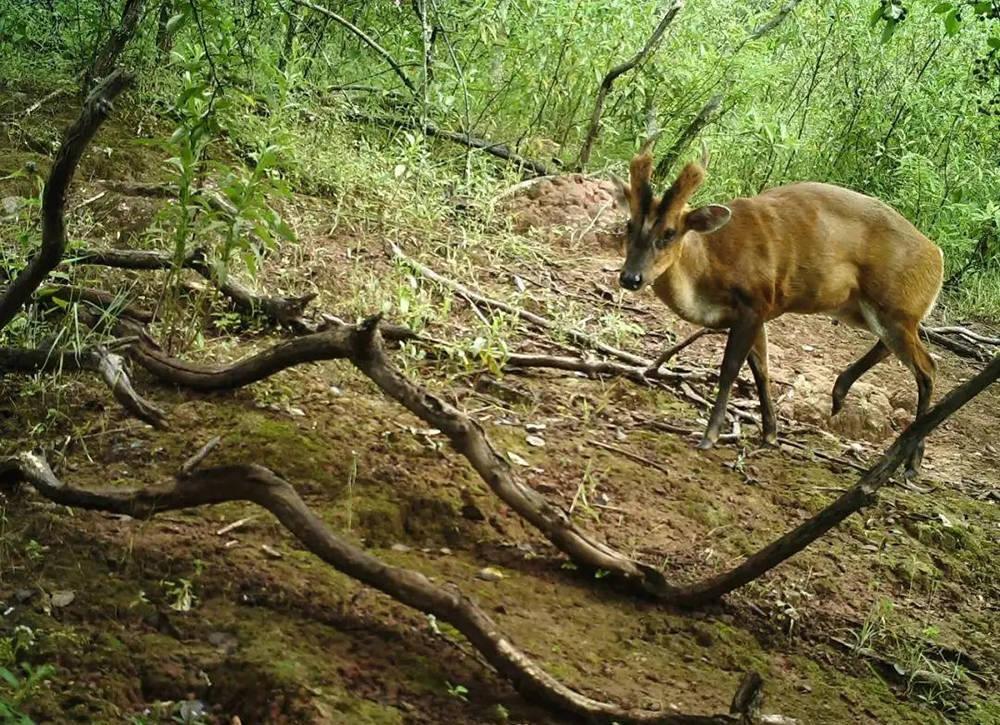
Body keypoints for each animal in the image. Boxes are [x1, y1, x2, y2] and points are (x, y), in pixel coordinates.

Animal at [608, 142, 944, 480]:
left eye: (669, 233)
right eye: (629, 224)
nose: (631, 277)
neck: (708, 267)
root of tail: (938, 256)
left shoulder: (755, 302)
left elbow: (731, 368)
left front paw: (710, 435)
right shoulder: (759, 313)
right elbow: (762, 370)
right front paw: (770, 433)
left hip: (895, 306)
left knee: (927, 367)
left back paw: (911, 461)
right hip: (859, 307)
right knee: (894, 348)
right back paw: (839, 394)